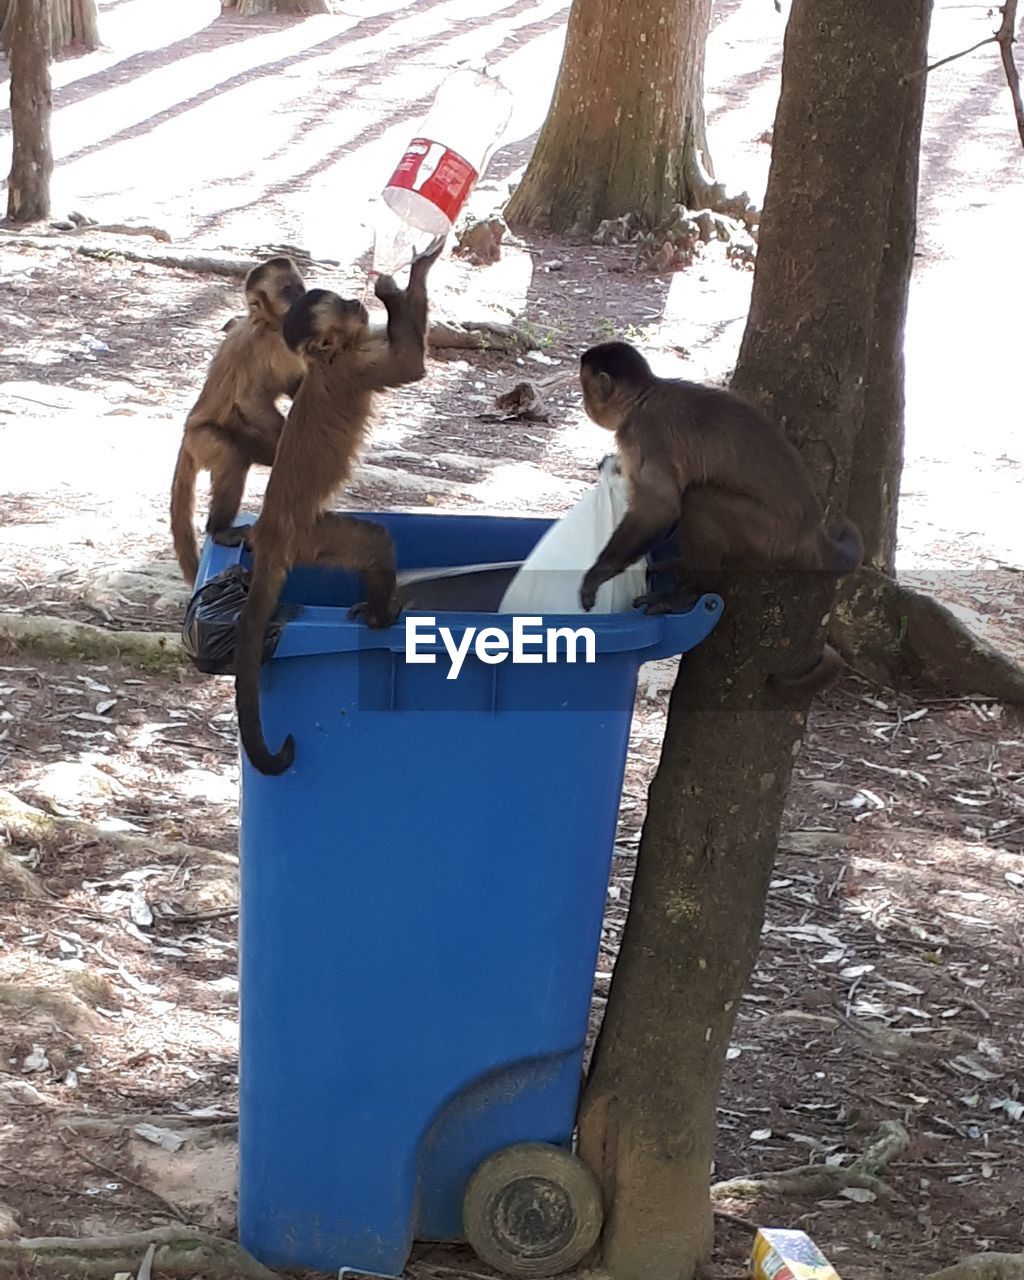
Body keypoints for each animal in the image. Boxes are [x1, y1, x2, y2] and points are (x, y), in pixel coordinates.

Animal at [170, 256, 305, 586]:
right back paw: (219, 530)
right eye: (287, 291)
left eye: (299, 286)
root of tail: (186, 435)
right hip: (202, 439)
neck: (271, 326)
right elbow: (249, 399)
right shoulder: (264, 346)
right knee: (231, 456)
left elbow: (294, 384)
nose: (302, 296)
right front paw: (289, 440)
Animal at [234, 243, 442, 773]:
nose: (359, 304)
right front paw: (406, 277)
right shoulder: (355, 367)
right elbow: (411, 366)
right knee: (374, 543)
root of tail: (268, 534)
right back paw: (381, 616)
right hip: (310, 539)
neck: (333, 357)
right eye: (345, 310)